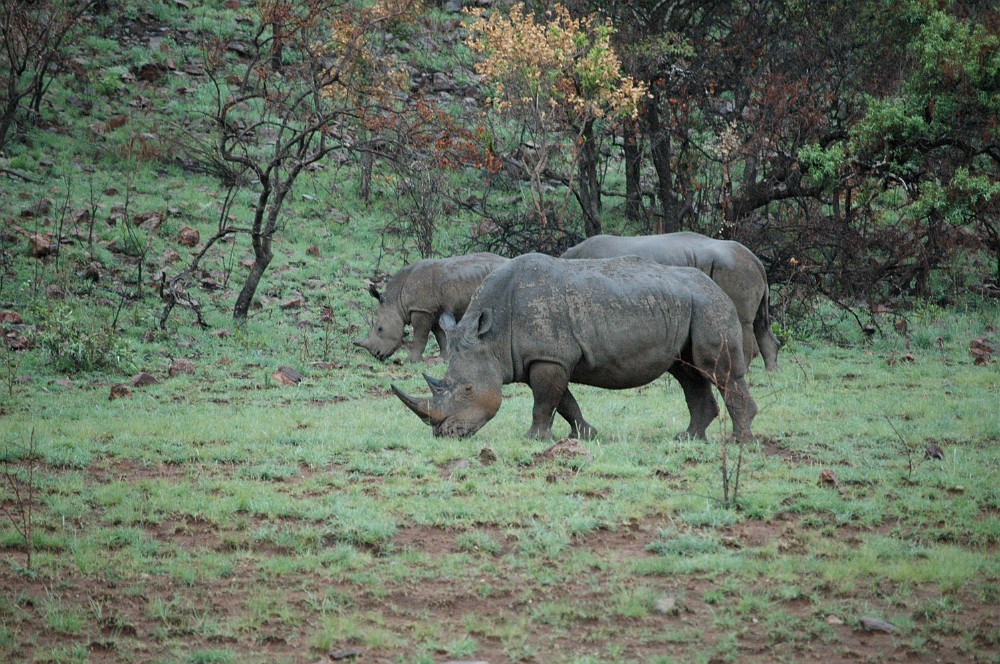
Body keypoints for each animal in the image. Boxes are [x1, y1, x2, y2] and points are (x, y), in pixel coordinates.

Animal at [355, 253, 509, 363]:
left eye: (380, 329)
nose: (376, 355)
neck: (396, 300)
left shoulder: (421, 309)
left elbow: (420, 336)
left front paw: (411, 361)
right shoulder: (433, 311)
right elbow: (440, 336)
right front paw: (444, 359)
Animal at [392, 253, 758, 442]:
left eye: (468, 389)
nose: (445, 433)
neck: (490, 337)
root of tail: (716, 286)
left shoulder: (549, 357)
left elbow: (544, 402)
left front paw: (534, 439)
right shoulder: (544, 359)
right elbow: (564, 401)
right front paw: (587, 435)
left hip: (709, 305)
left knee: (715, 370)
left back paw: (738, 440)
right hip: (689, 306)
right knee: (687, 372)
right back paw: (689, 438)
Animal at [561, 232, 780, 371]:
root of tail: (757, 261)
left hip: (734, 268)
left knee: (743, 322)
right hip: (742, 268)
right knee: (760, 321)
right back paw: (771, 371)